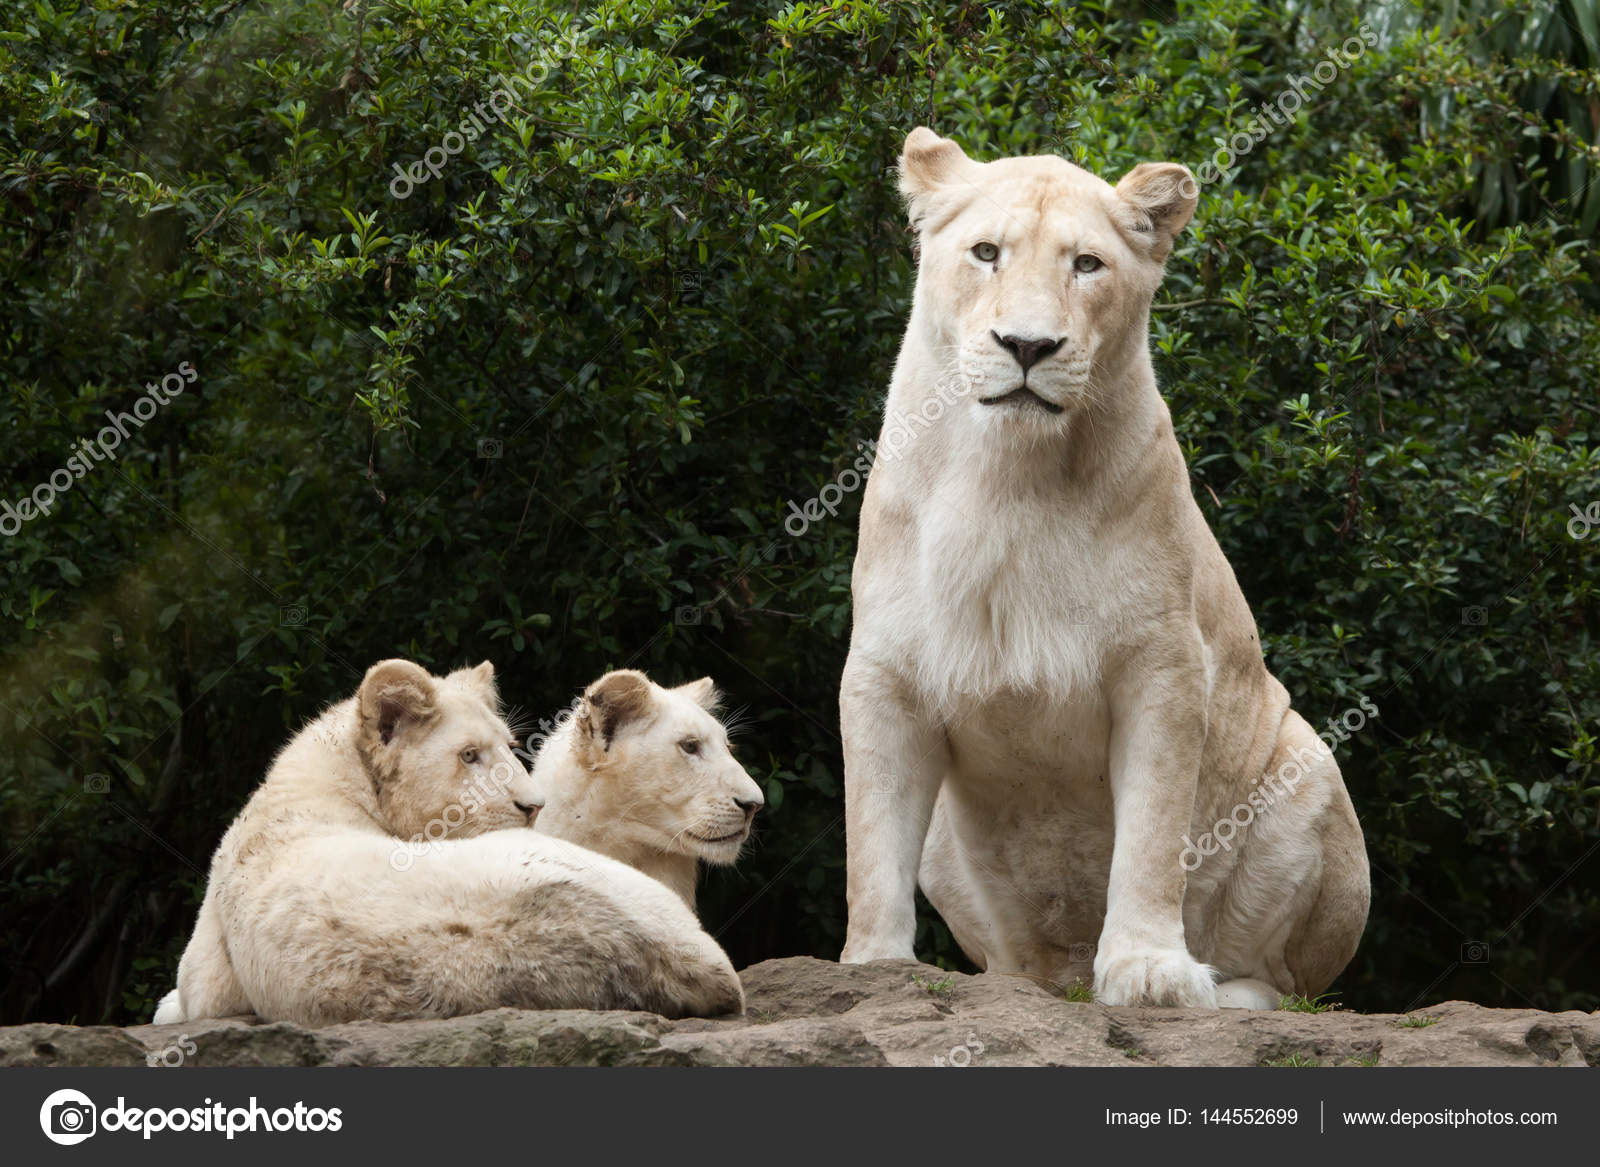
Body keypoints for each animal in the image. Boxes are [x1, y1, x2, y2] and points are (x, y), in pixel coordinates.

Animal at [838, 128, 1370, 1009]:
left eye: (1086, 264)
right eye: (986, 253)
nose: (1027, 346)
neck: (1008, 477)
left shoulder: (1163, 664)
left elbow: (1152, 835)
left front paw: (1150, 970)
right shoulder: (884, 671)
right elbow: (871, 837)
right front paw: (874, 968)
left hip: (1307, 763)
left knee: (1290, 984)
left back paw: (1219, 989)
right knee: (1017, 959)